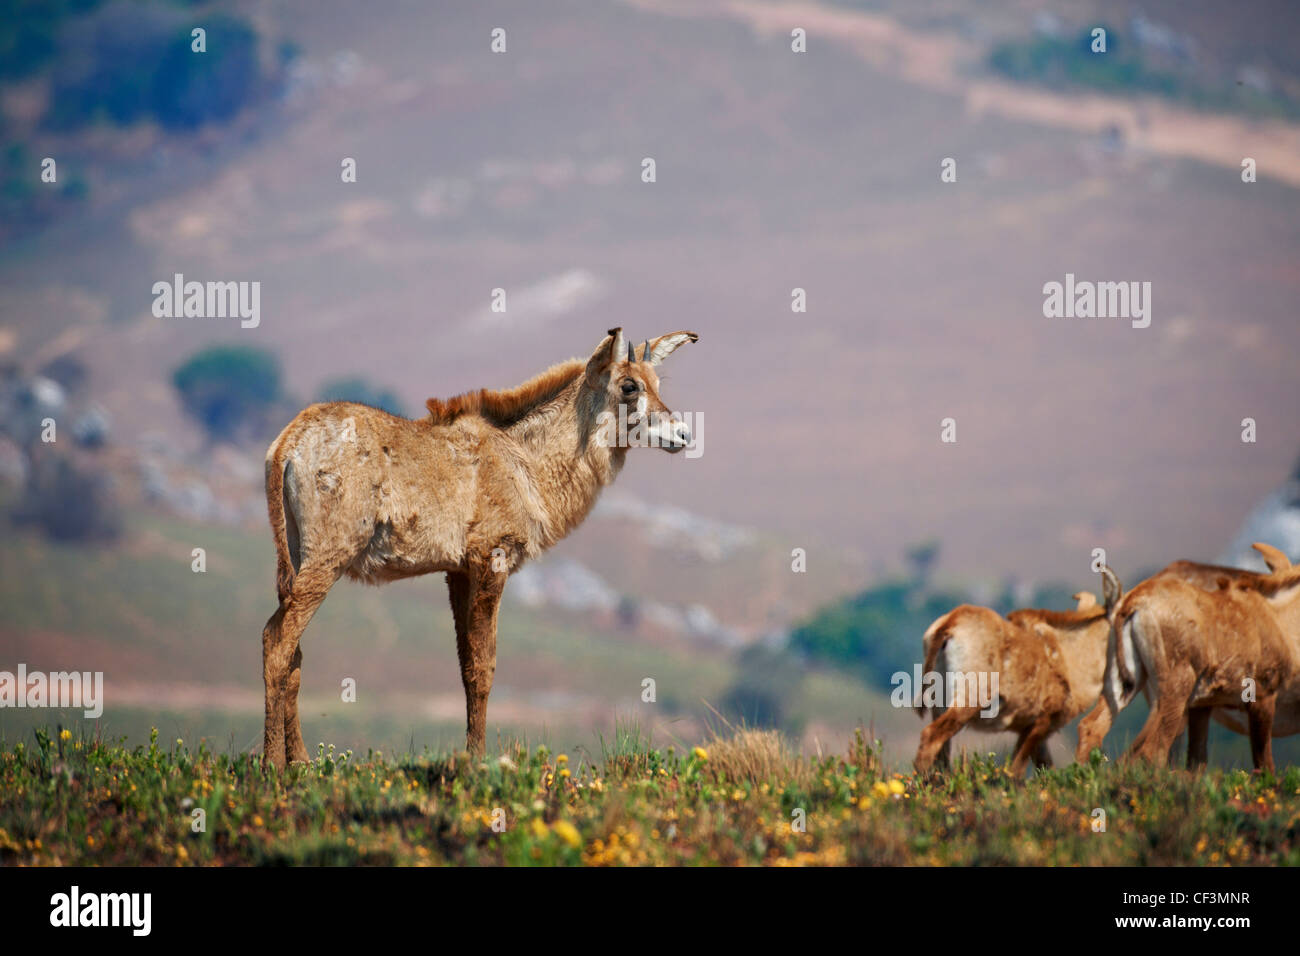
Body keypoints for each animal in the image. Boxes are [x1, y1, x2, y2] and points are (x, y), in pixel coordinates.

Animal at [257, 329, 696, 770]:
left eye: (657, 383)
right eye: (629, 386)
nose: (682, 434)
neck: (519, 457)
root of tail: (287, 445)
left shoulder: (457, 572)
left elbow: (467, 665)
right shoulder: (491, 560)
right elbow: (485, 666)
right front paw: (479, 762)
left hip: (295, 561)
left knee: (294, 653)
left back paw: (301, 763)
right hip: (326, 559)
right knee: (276, 640)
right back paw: (273, 765)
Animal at [915, 582, 1118, 780]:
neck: (1067, 654)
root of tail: (951, 623)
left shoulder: (1034, 730)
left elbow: (1045, 767)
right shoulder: (1040, 722)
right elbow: (1016, 770)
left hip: (940, 704)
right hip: (968, 701)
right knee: (931, 736)